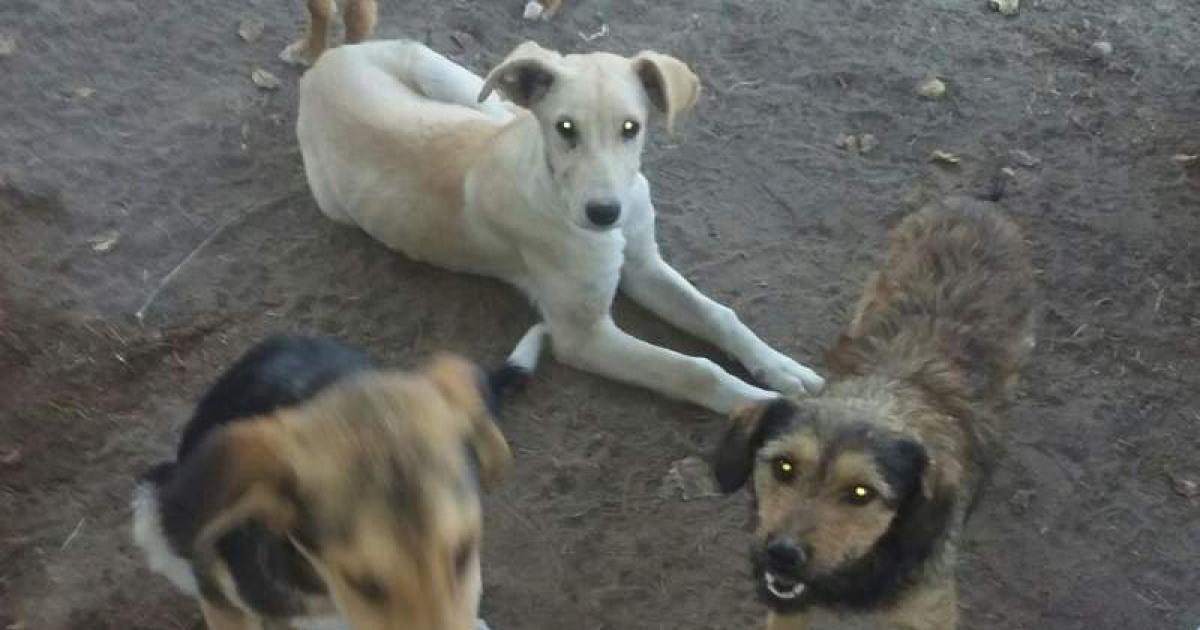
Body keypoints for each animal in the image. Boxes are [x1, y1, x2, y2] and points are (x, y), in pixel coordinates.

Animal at [300, 40, 825, 412]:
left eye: (631, 128)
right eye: (565, 128)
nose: (605, 213)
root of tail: (321, 63)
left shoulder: (643, 267)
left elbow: (720, 315)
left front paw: (782, 369)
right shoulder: (584, 337)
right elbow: (693, 370)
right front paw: (764, 408)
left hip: (452, 79)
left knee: (504, 109)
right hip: (335, 198)